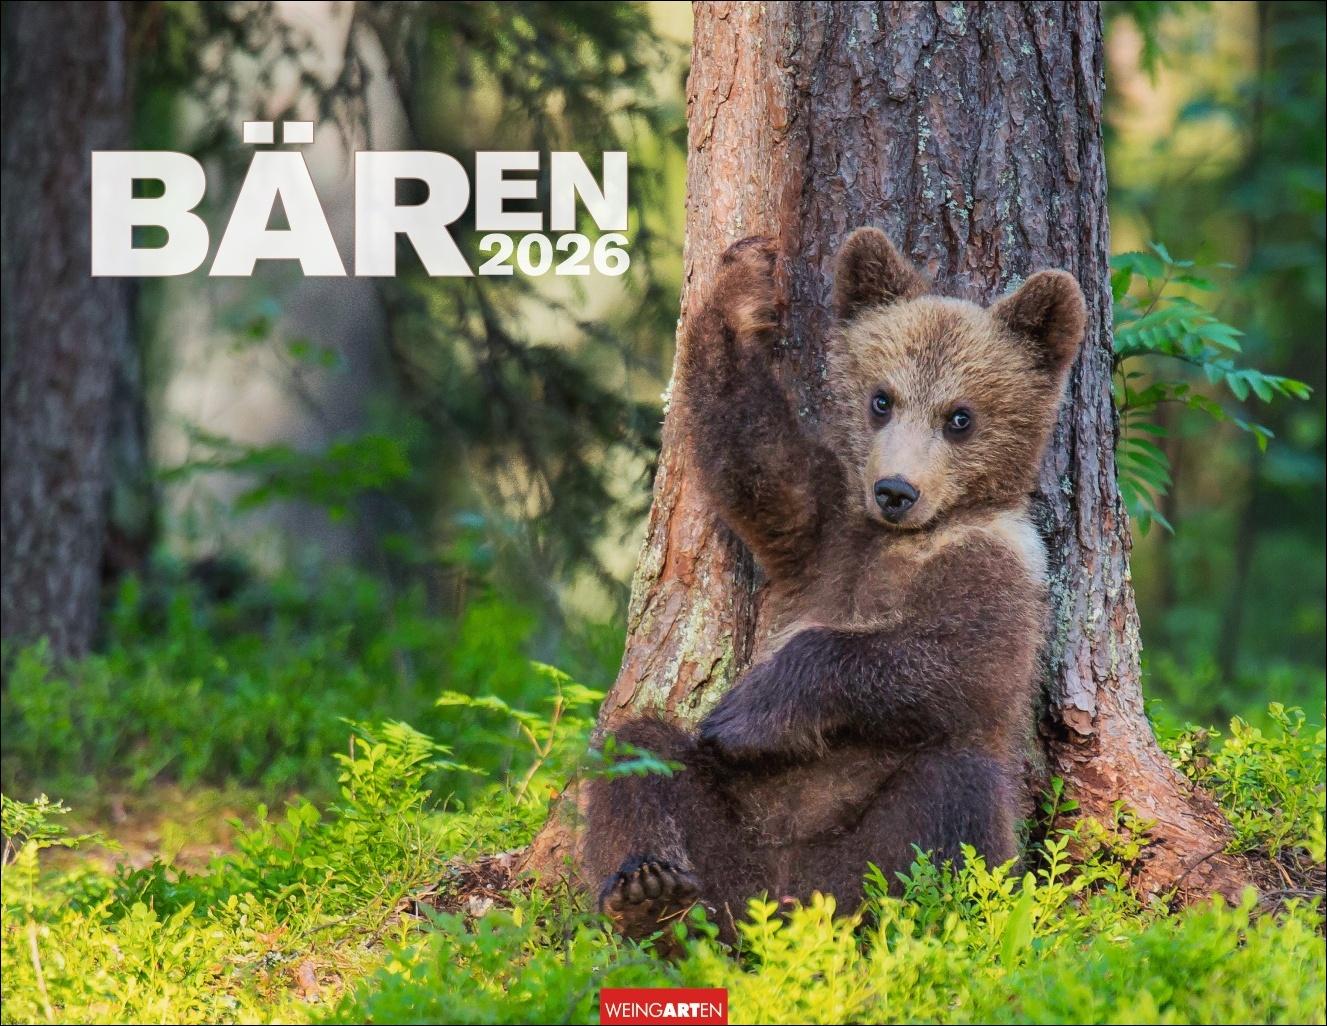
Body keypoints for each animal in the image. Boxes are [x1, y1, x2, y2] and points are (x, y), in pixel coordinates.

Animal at [581, 228, 1086, 944]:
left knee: (953, 789)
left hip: (870, 848)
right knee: (638, 755)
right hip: (733, 843)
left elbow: (960, 659)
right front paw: (742, 285)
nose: (896, 490)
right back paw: (647, 891)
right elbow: (760, 467)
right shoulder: (825, 531)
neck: (902, 538)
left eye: (960, 417)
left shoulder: (1002, 569)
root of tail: (786, 902)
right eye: (882, 399)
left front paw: (750, 710)